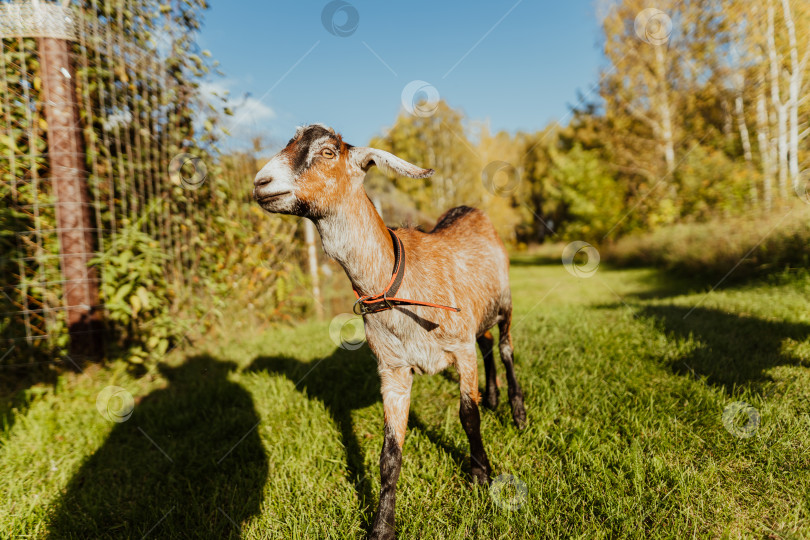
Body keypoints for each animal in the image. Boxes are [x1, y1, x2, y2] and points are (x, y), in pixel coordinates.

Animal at [254, 123, 532, 540]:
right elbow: (389, 453)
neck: (396, 281)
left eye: (328, 152)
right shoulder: (393, 370)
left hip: (505, 304)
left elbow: (468, 416)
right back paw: (494, 396)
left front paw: (481, 476)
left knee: (504, 349)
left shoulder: (459, 346)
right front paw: (382, 526)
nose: (261, 182)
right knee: (487, 345)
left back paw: (516, 412)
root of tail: (470, 209)